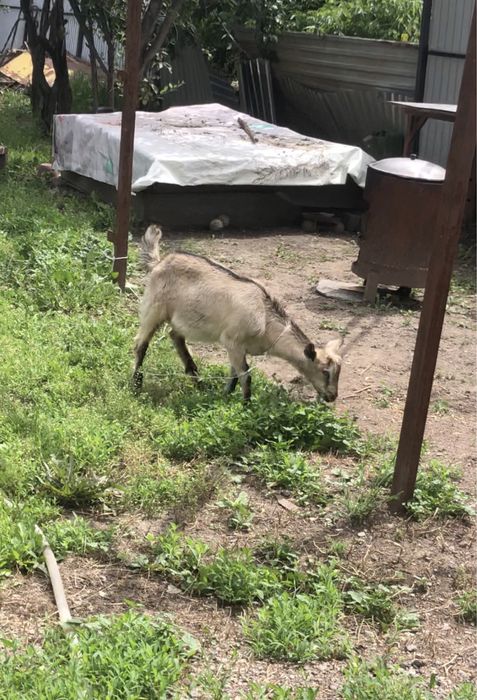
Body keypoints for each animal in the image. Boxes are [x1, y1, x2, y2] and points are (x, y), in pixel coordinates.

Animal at [133, 225, 343, 402]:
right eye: (325, 371)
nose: (332, 396)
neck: (265, 320)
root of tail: (159, 263)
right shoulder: (232, 341)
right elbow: (246, 376)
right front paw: (246, 406)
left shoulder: (237, 348)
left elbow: (234, 373)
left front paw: (227, 396)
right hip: (153, 309)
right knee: (140, 344)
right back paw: (136, 386)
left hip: (183, 319)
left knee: (175, 337)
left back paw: (199, 383)